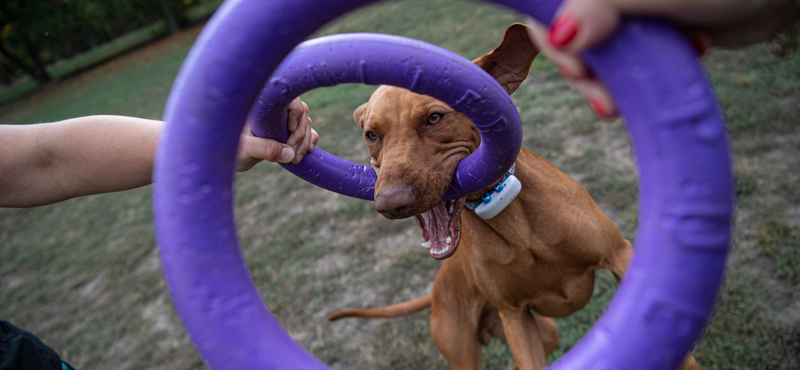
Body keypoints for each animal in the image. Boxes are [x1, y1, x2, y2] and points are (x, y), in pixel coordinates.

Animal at [328, 23, 696, 370]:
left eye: (434, 117)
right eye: (372, 135)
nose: (390, 204)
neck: (509, 216)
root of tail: (436, 288)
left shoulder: (620, 256)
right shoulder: (515, 317)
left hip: (548, 332)